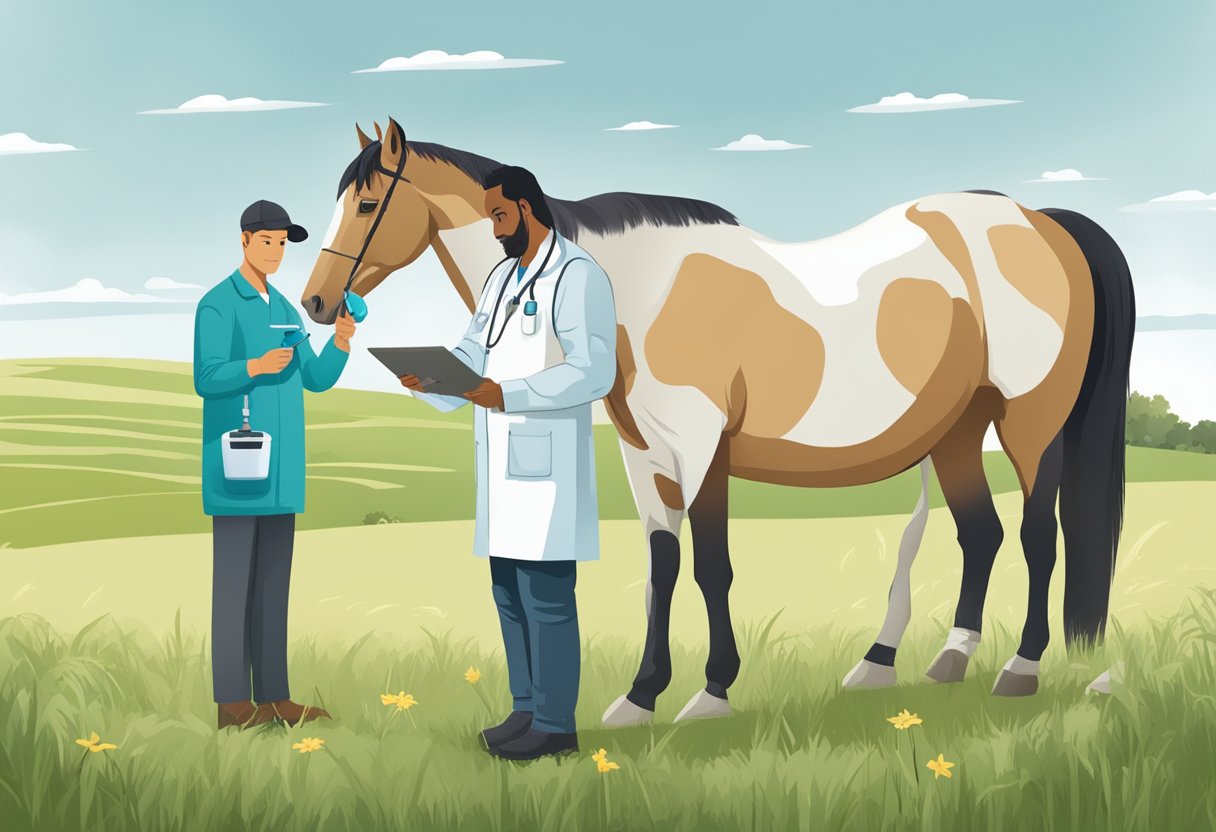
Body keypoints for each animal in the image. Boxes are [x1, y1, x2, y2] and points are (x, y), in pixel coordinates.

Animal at [301, 120, 1128, 724]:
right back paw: (921, 662)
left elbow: (710, 568)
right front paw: (641, 695)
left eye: (368, 204)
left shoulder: (702, 452)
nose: (315, 302)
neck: (631, 289)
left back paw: (1020, 667)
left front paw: (712, 690)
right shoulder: (645, 456)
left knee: (1037, 536)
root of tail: (1040, 221)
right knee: (980, 534)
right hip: (956, 432)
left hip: (1029, 426)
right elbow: (663, 567)